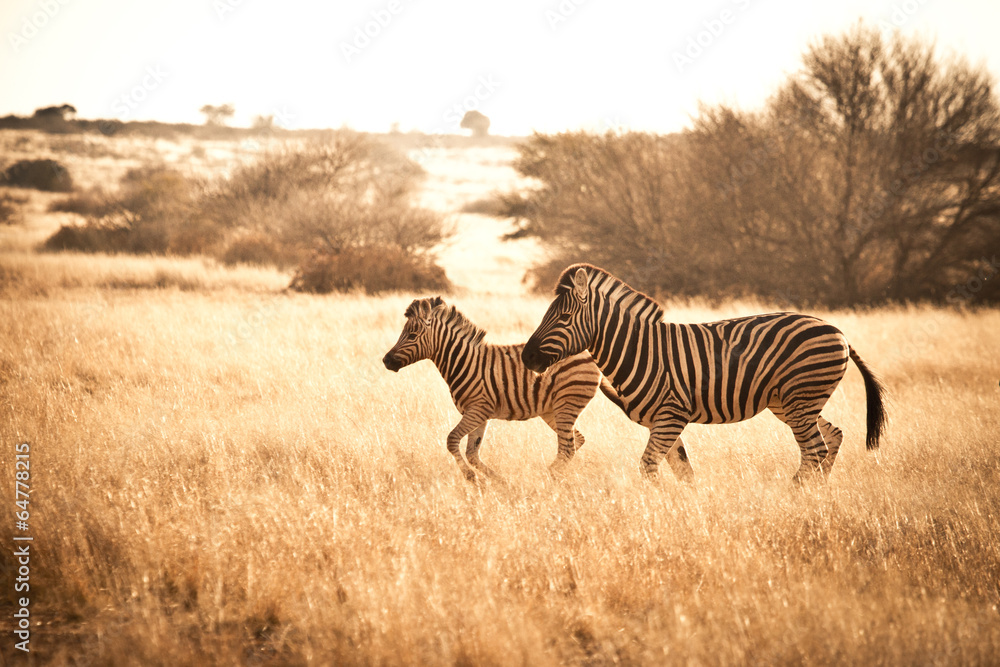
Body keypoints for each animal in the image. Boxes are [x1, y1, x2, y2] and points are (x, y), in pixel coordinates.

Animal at [382, 296, 617, 481]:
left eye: (412, 336)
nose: (386, 361)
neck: (463, 361)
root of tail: (589, 354)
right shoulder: (479, 414)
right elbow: (472, 453)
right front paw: (498, 483)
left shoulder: (477, 410)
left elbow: (452, 440)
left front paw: (471, 477)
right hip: (552, 410)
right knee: (576, 441)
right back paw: (558, 476)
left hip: (567, 402)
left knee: (568, 447)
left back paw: (547, 478)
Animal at [521, 264, 887, 482]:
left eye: (564, 318)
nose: (526, 356)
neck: (639, 350)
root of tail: (836, 329)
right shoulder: (661, 420)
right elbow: (682, 470)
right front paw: (687, 507)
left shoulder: (671, 415)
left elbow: (648, 466)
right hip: (793, 402)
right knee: (833, 435)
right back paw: (818, 492)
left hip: (801, 397)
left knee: (815, 449)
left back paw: (797, 493)